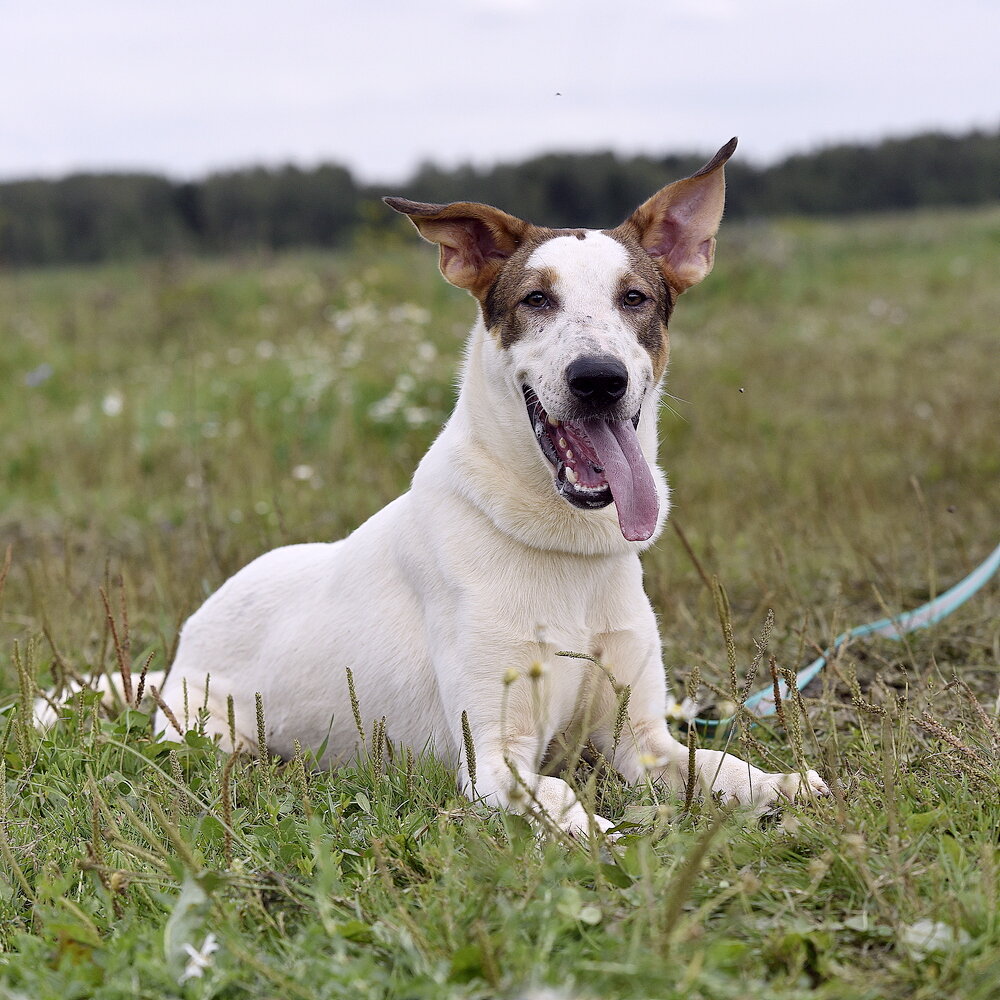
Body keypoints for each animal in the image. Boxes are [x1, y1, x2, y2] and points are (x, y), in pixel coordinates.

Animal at [70, 137, 832, 832]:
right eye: (536, 299)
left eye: (635, 298)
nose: (598, 379)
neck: (568, 548)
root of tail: (179, 651)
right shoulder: (493, 754)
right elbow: (565, 802)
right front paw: (607, 841)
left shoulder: (639, 738)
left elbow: (721, 767)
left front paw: (786, 786)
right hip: (212, 734)